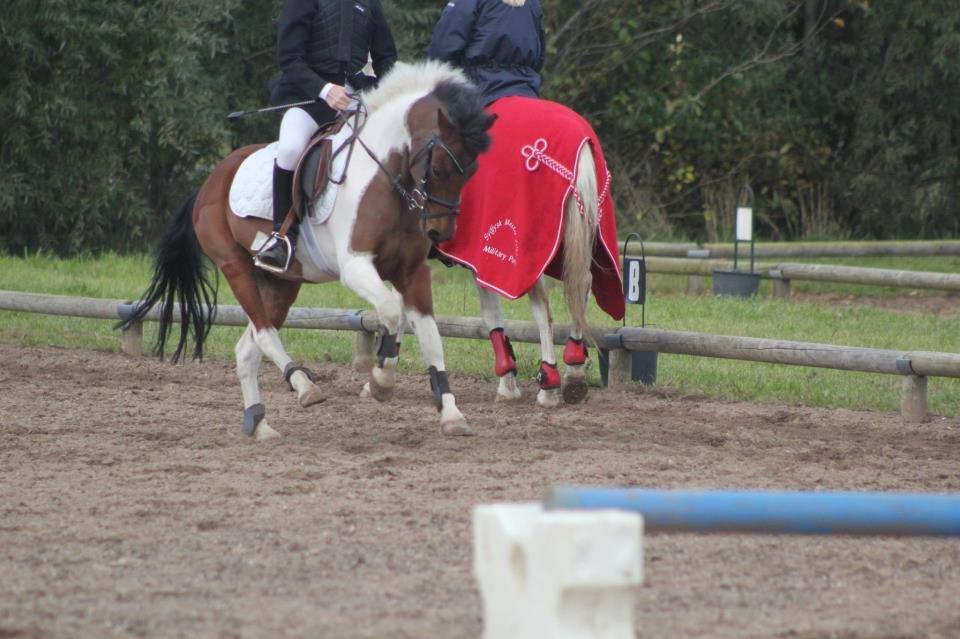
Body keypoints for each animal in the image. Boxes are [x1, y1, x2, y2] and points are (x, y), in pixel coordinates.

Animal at [120, 63, 496, 440]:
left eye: (473, 172)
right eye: (438, 169)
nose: (439, 233)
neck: (387, 181)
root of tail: (211, 179)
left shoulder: (412, 271)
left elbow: (429, 336)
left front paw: (451, 414)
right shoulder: (355, 266)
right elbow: (392, 311)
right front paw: (381, 381)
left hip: (281, 283)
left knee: (247, 349)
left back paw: (260, 424)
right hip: (234, 266)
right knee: (264, 334)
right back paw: (303, 386)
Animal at [432, 97, 628, 408]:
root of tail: (581, 145)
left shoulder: (481, 264)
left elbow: (492, 316)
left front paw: (507, 384)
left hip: (529, 256)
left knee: (544, 312)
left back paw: (549, 384)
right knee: (580, 287)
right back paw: (574, 373)